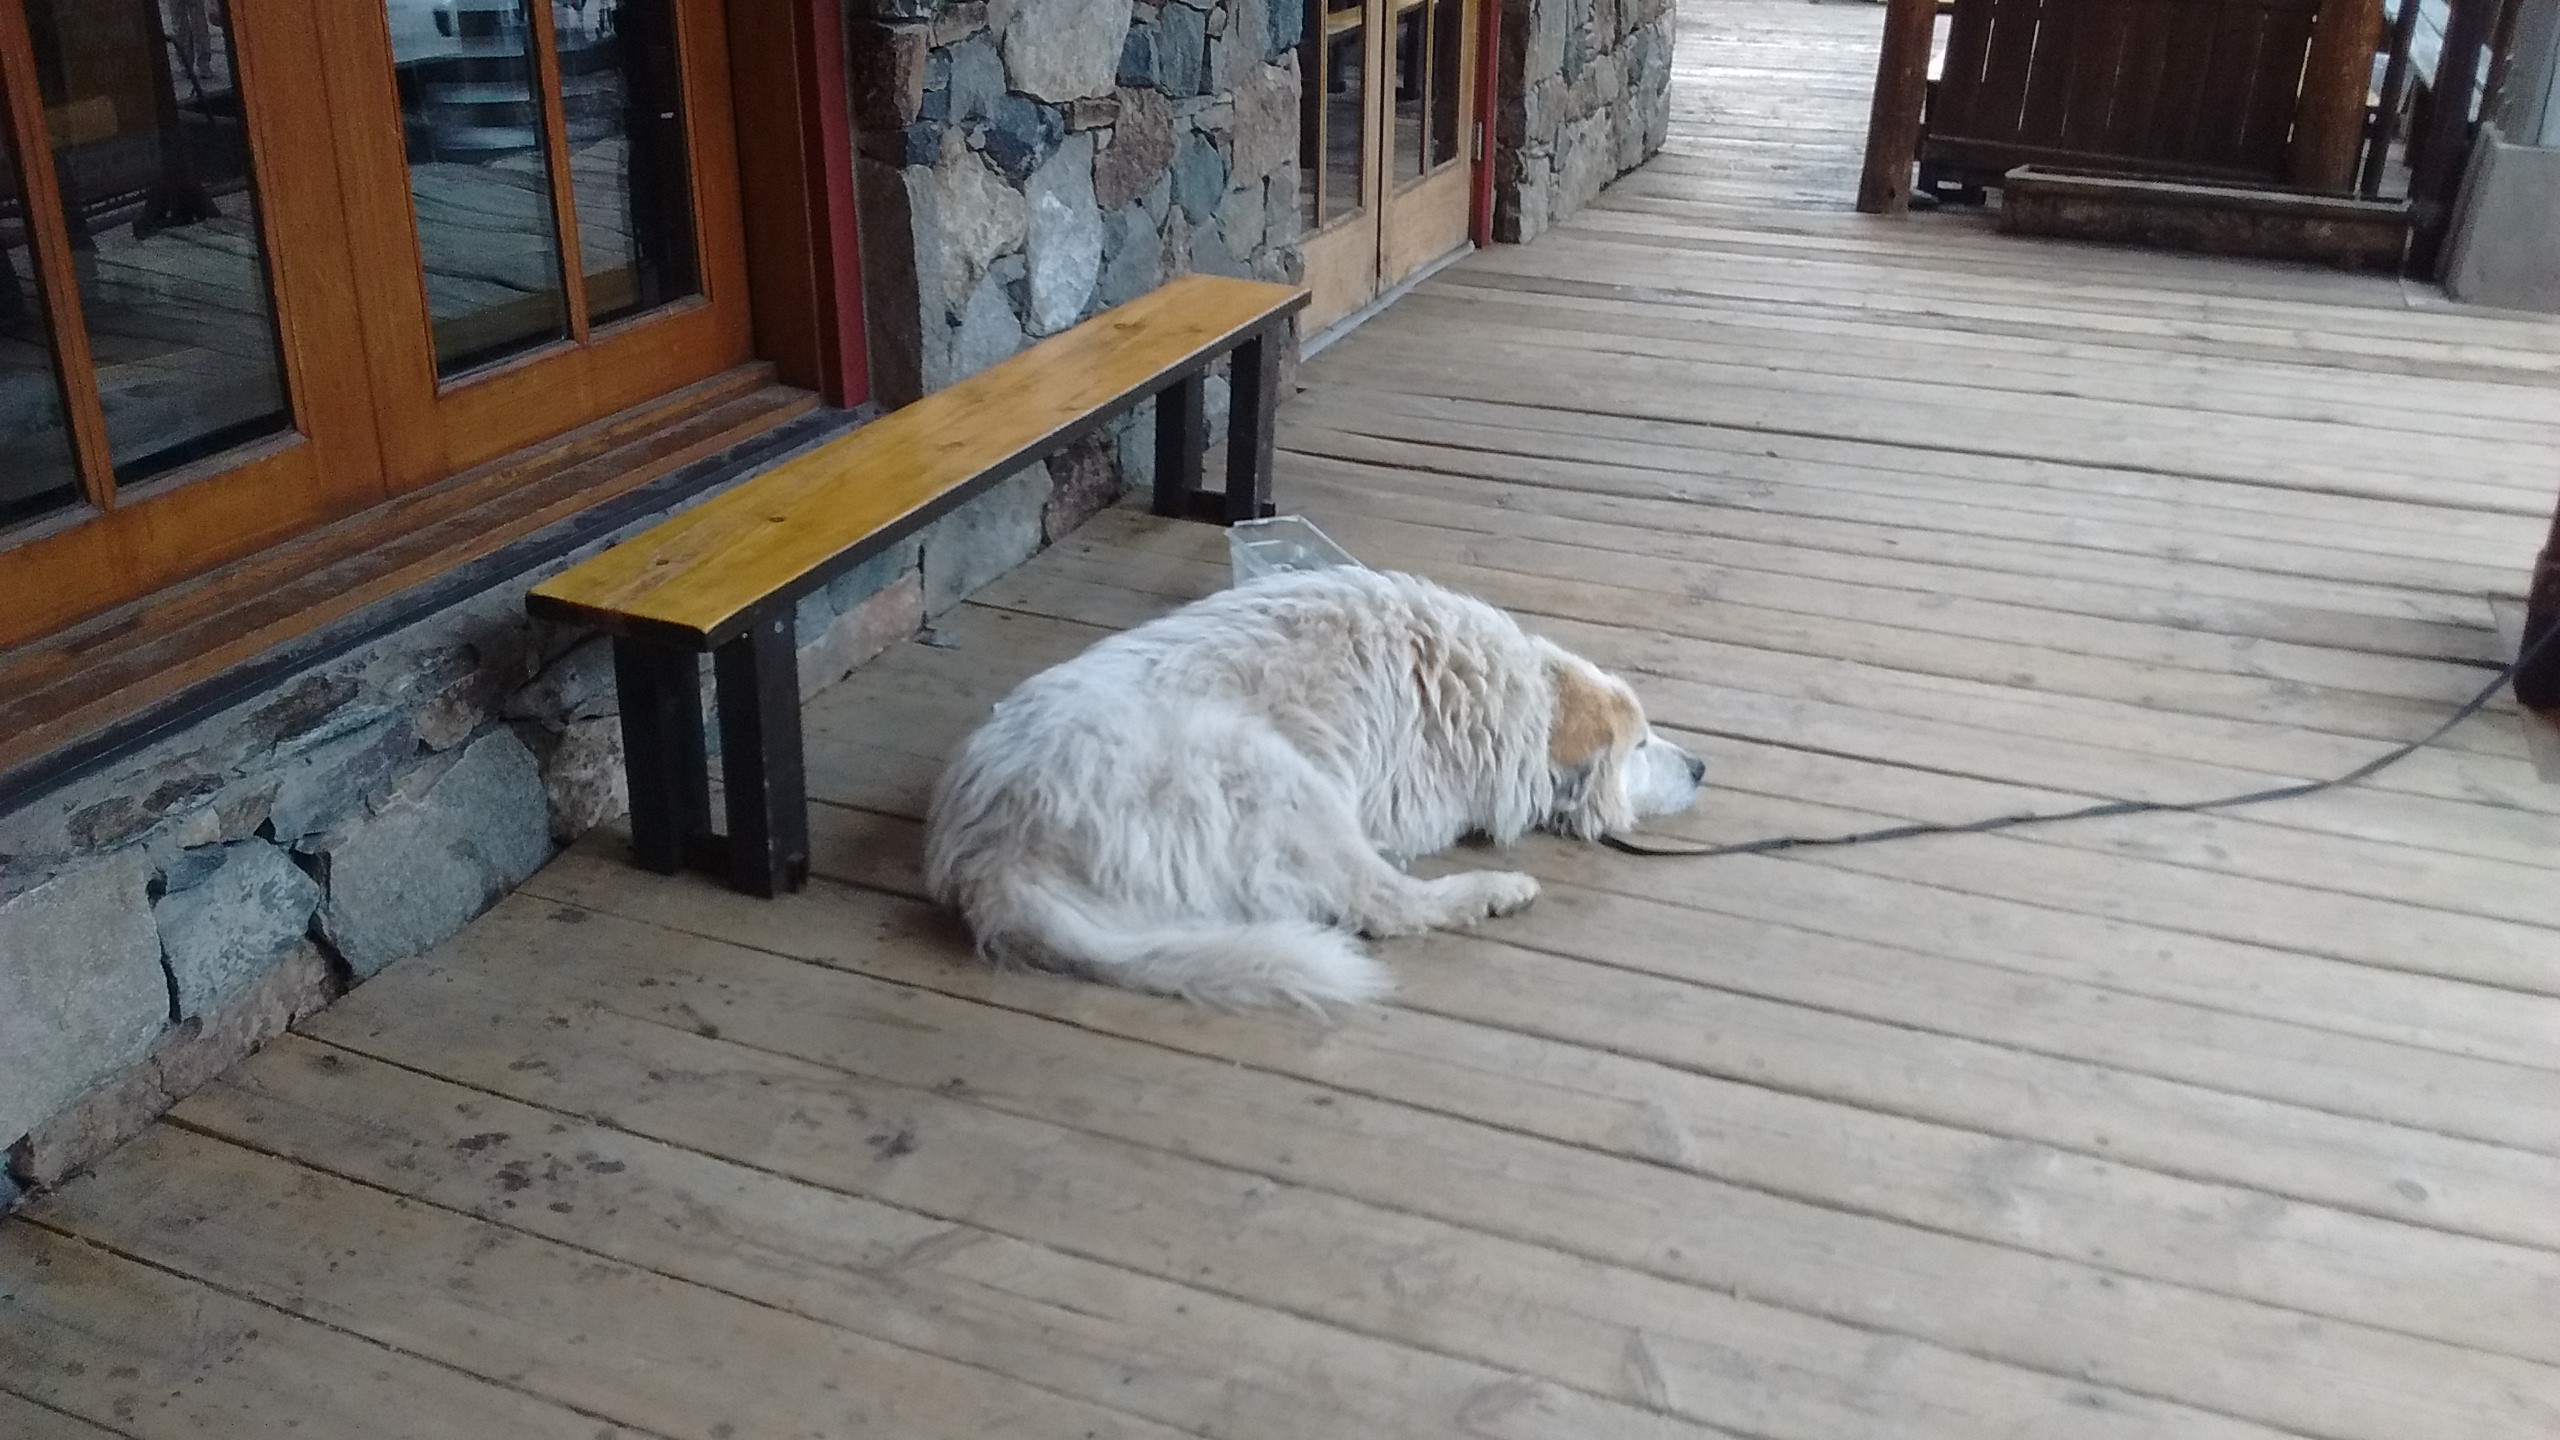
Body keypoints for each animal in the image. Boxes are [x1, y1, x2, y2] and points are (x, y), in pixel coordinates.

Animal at [924, 566, 1705, 1007]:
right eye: (1640, 746)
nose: (1702, 768)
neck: (1487, 692)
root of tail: (995, 862)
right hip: (1279, 778)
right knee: (1386, 907)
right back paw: (1495, 891)